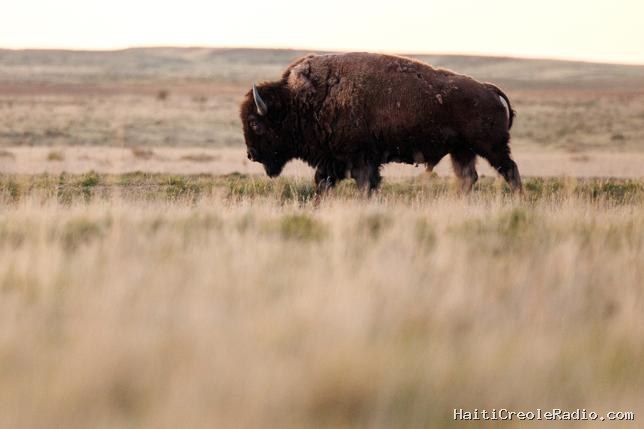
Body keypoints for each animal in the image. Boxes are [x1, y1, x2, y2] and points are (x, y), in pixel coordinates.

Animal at [240, 52, 522, 194]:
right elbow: (322, 183)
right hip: (462, 151)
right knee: (468, 178)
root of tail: (488, 89)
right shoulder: (334, 162)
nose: (251, 154)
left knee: (510, 171)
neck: (302, 100)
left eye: (254, 123)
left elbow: (364, 185)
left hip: (491, 147)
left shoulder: (360, 159)